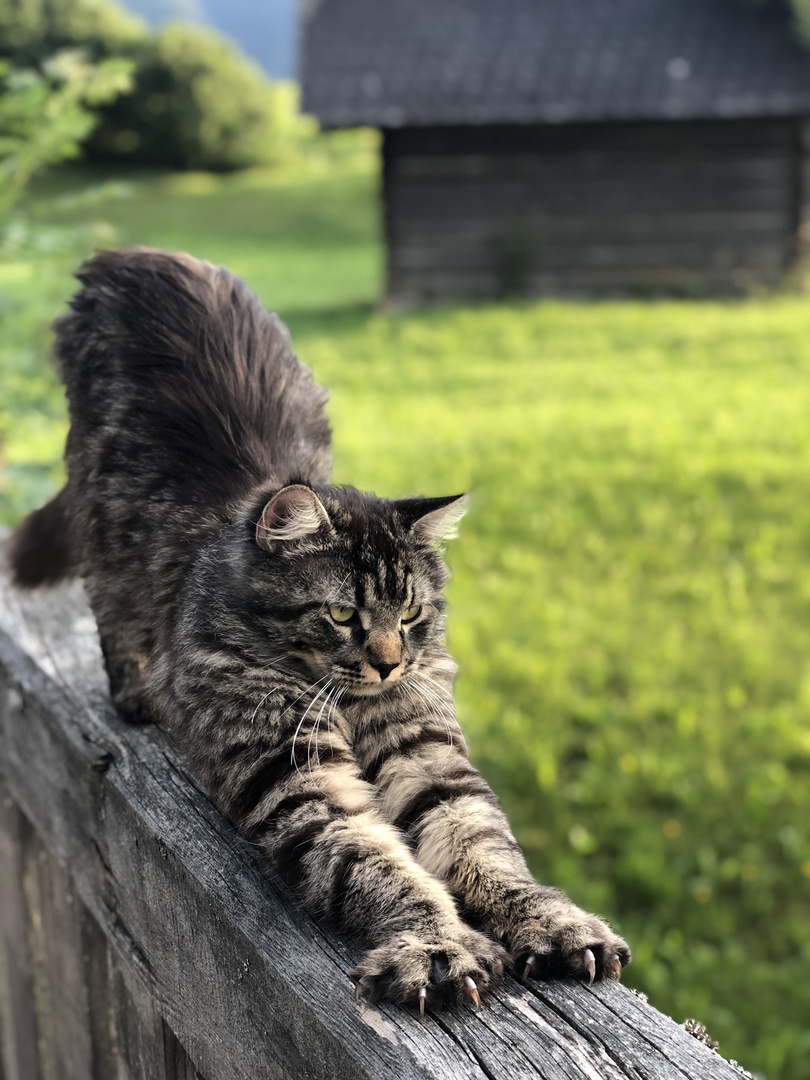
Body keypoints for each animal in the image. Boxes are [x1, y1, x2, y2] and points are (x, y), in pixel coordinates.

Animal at [9, 247, 635, 1010]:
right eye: (342, 615)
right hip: (98, 519)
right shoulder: (299, 781)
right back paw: (138, 696)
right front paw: (439, 947)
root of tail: (130, 255)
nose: (390, 663)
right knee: (106, 603)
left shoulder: (426, 758)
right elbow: (380, 867)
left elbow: (484, 848)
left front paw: (553, 922)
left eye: (411, 613)